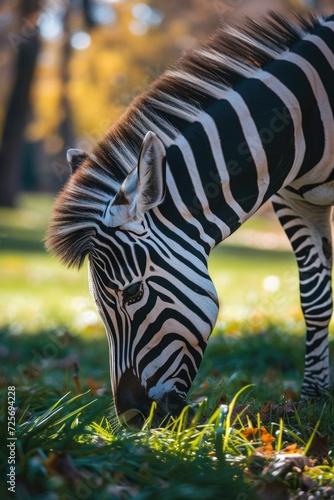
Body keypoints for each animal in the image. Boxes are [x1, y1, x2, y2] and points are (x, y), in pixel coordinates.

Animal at [46, 12, 334, 422]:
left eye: (133, 293)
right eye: (97, 304)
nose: (132, 417)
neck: (302, 119)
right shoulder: (293, 200)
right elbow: (314, 297)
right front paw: (313, 398)